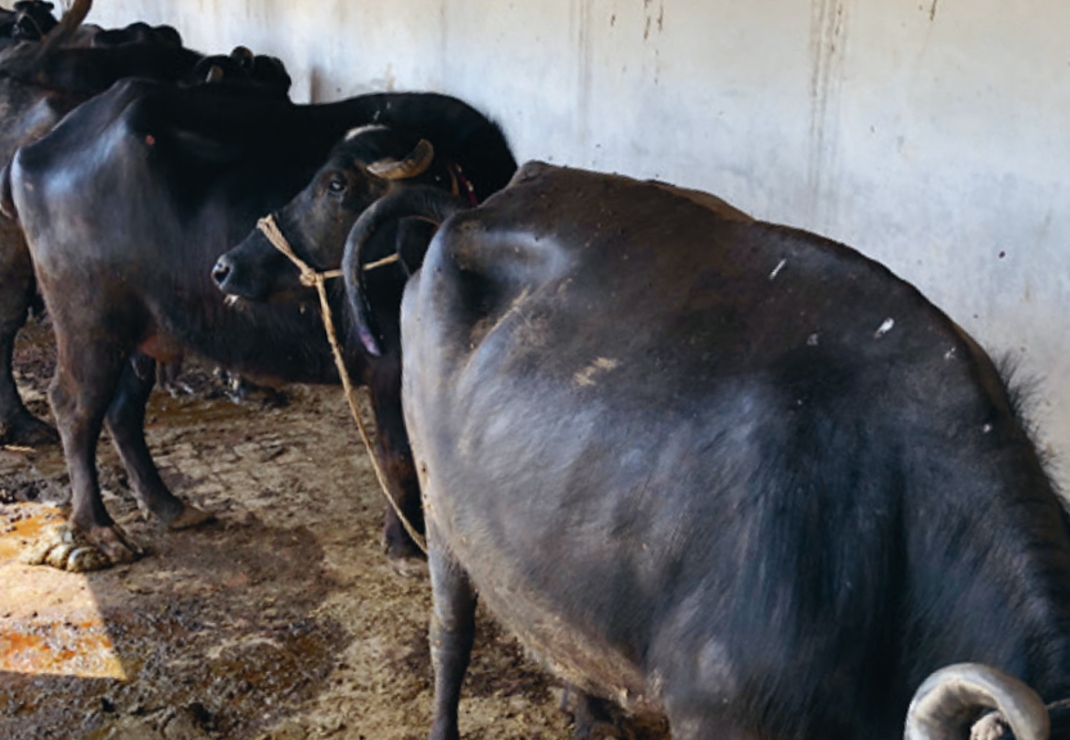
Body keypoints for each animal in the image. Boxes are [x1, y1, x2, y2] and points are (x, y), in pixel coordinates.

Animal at [2, 76, 515, 564]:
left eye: (336, 185)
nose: (225, 268)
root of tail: (38, 149)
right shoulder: (388, 367)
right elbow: (398, 458)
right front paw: (404, 543)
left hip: (145, 332)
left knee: (122, 411)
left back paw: (167, 505)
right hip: (89, 326)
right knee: (74, 406)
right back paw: (97, 530)